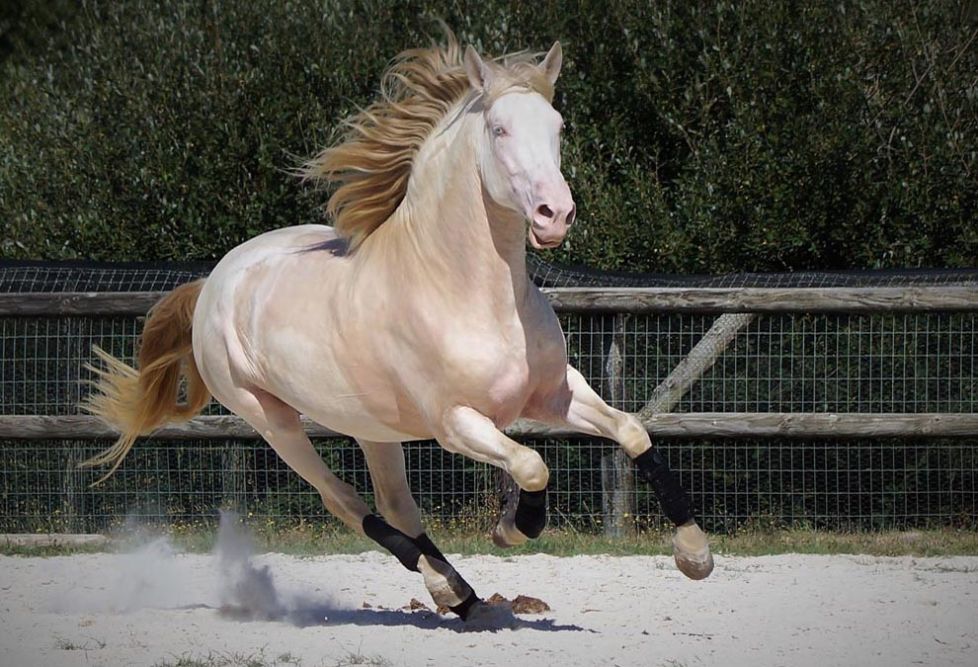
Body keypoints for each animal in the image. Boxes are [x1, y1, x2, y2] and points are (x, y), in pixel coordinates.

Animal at [82, 31, 713, 621]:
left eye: (557, 126)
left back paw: (459, 595)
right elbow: (532, 465)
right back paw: (448, 587)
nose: (554, 215)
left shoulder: (553, 394)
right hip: (269, 419)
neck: (469, 293)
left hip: (373, 428)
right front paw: (514, 527)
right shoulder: (456, 422)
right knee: (345, 502)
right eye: (500, 130)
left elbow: (631, 431)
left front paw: (694, 554)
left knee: (395, 505)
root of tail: (215, 280)